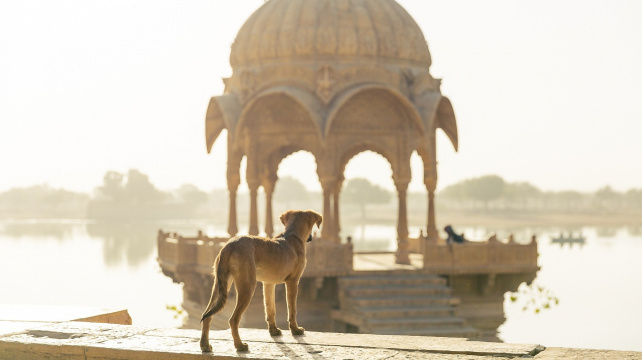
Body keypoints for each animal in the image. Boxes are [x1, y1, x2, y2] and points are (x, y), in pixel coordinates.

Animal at [199, 208, 320, 352]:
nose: (311, 238)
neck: (292, 235)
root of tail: (230, 245)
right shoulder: (293, 282)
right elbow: (292, 309)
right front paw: (295, 330)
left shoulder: (268, 284)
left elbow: (270, 309)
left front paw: (273, 331)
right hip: (247, 286)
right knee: (233, 320)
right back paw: (240, 345)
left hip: (219, 285)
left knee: (207, 315)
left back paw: (205, 345)